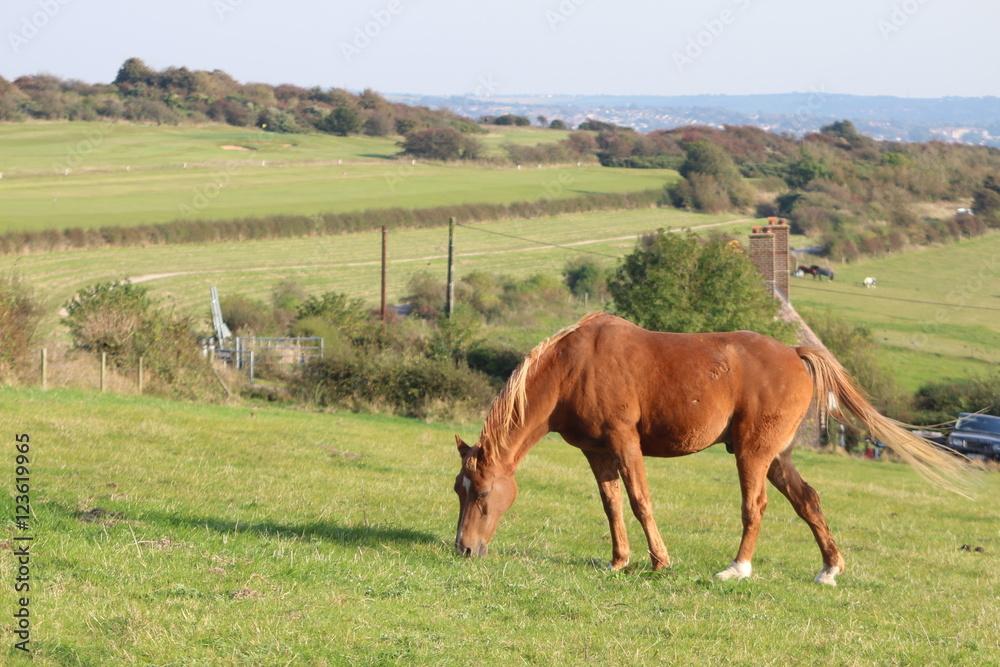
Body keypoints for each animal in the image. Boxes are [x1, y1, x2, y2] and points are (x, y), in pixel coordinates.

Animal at [453, 313, 967, 585]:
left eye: (482, 493)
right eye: (460, 491)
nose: (464, 549)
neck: (574, 365)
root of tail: (794, 352)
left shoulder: (624, 441)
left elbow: (639, 501)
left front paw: (659, 560)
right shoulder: (597, 453)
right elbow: (612, 505)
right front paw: (619, 560)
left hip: (754, 454)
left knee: (754, 506)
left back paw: (738, 568)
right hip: (777, 458)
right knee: (808, 501)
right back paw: (828, 568)